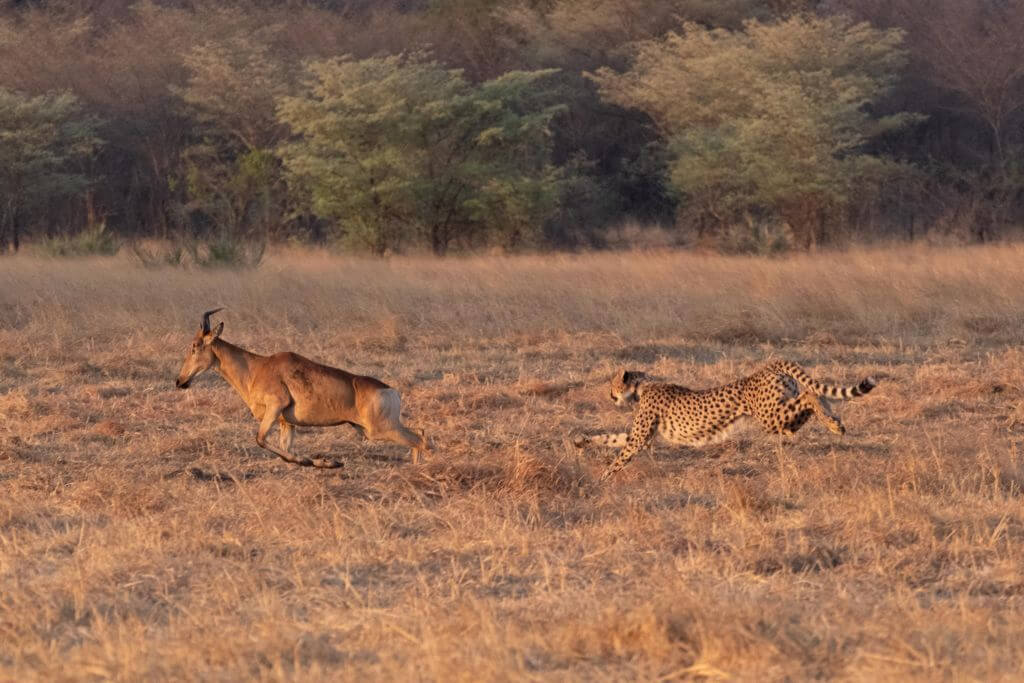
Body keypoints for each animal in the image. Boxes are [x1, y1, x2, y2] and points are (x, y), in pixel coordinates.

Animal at [573, 360, 877, 481]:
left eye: (612, 384)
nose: (609, 394)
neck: (642, 387)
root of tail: (770, 365)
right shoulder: (641, 437)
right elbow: (610, 437)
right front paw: (580, 441)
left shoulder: (640, 439)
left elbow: (621, 454)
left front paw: (602, 478)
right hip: (781, 413)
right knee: (812, 395)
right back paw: (835, 420)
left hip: (772, 417)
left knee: (810, 395)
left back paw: (833, 423)